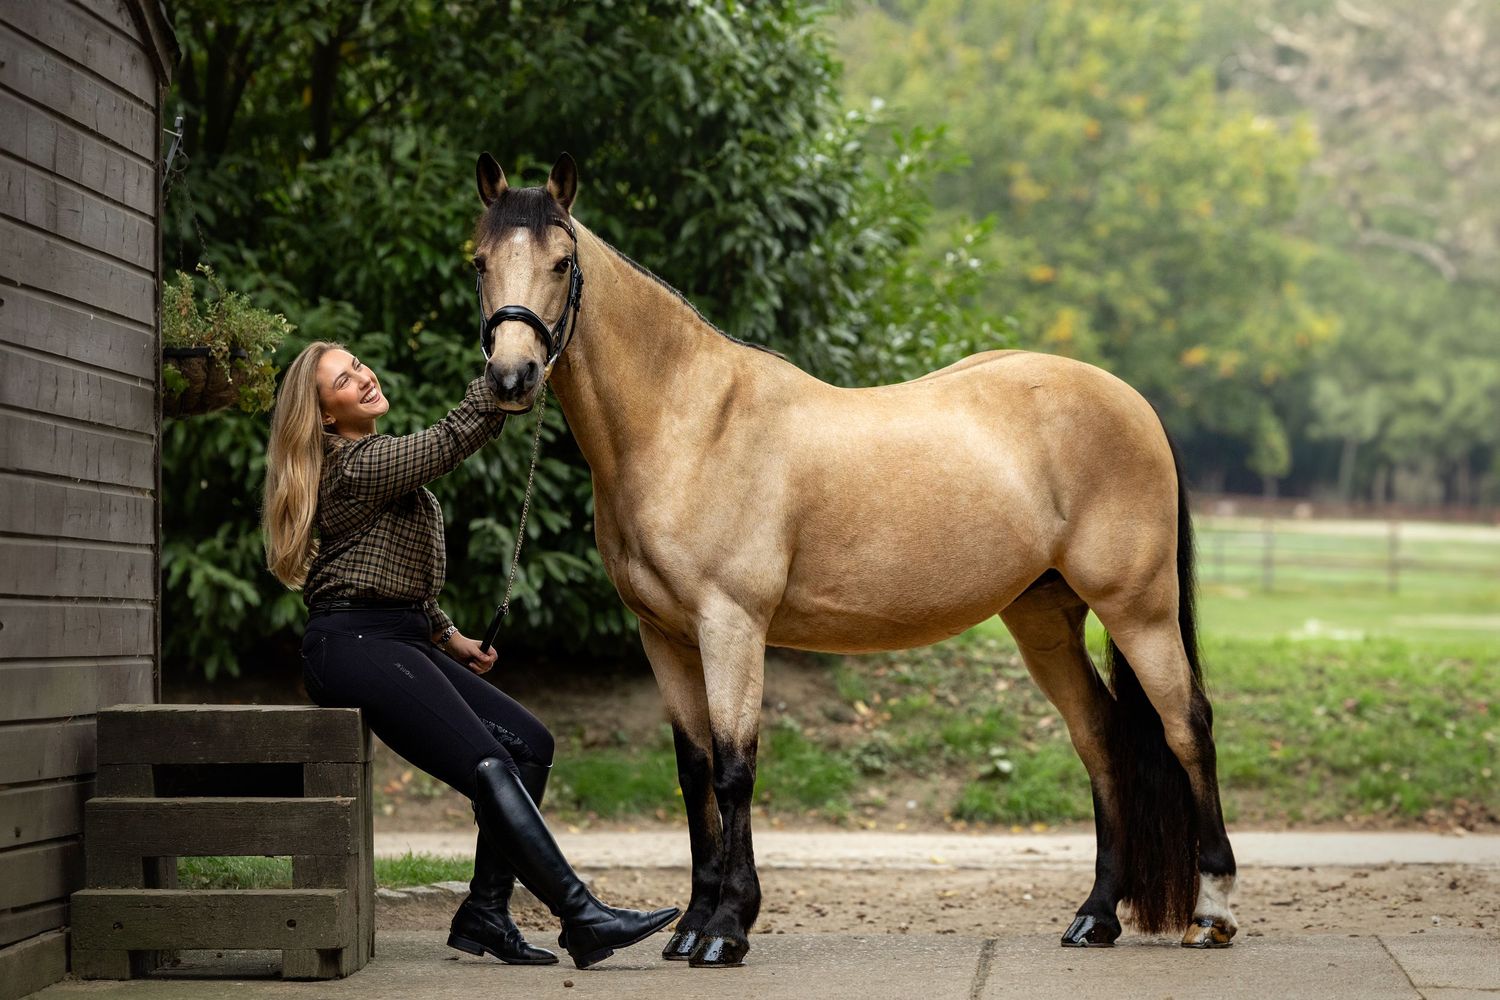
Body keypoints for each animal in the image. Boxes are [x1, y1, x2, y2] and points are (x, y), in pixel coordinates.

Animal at [470, 152, 1238, 968]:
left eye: (560, 263)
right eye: (479, 261)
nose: (512, 378)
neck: (690, 422)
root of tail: (1134, 402)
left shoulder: (731, 626)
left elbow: (736, 770)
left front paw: (727, 927)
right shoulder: (665, 636)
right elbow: (694, 771)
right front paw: (691, 924)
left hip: (1138, 610)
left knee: (1187, 726)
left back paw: (1212, 911)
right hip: (1045, 620)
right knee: (1099, 736)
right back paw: (1095, 915)